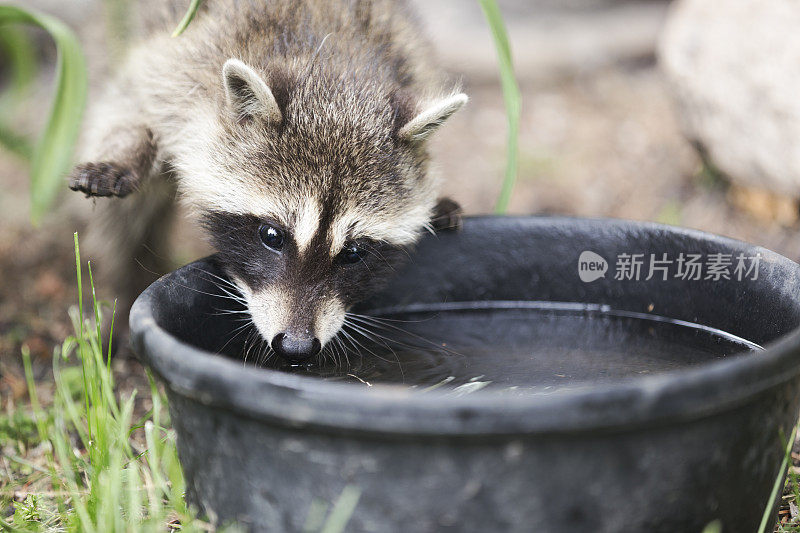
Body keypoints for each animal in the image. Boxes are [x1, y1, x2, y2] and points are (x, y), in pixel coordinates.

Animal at [73, 0, 468, 362]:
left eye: (354, 253)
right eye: (271, 236)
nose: (296, 346)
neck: (332, 68)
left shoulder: (408, 55)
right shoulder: (186, 55)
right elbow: (130, 102)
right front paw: (125, 149)